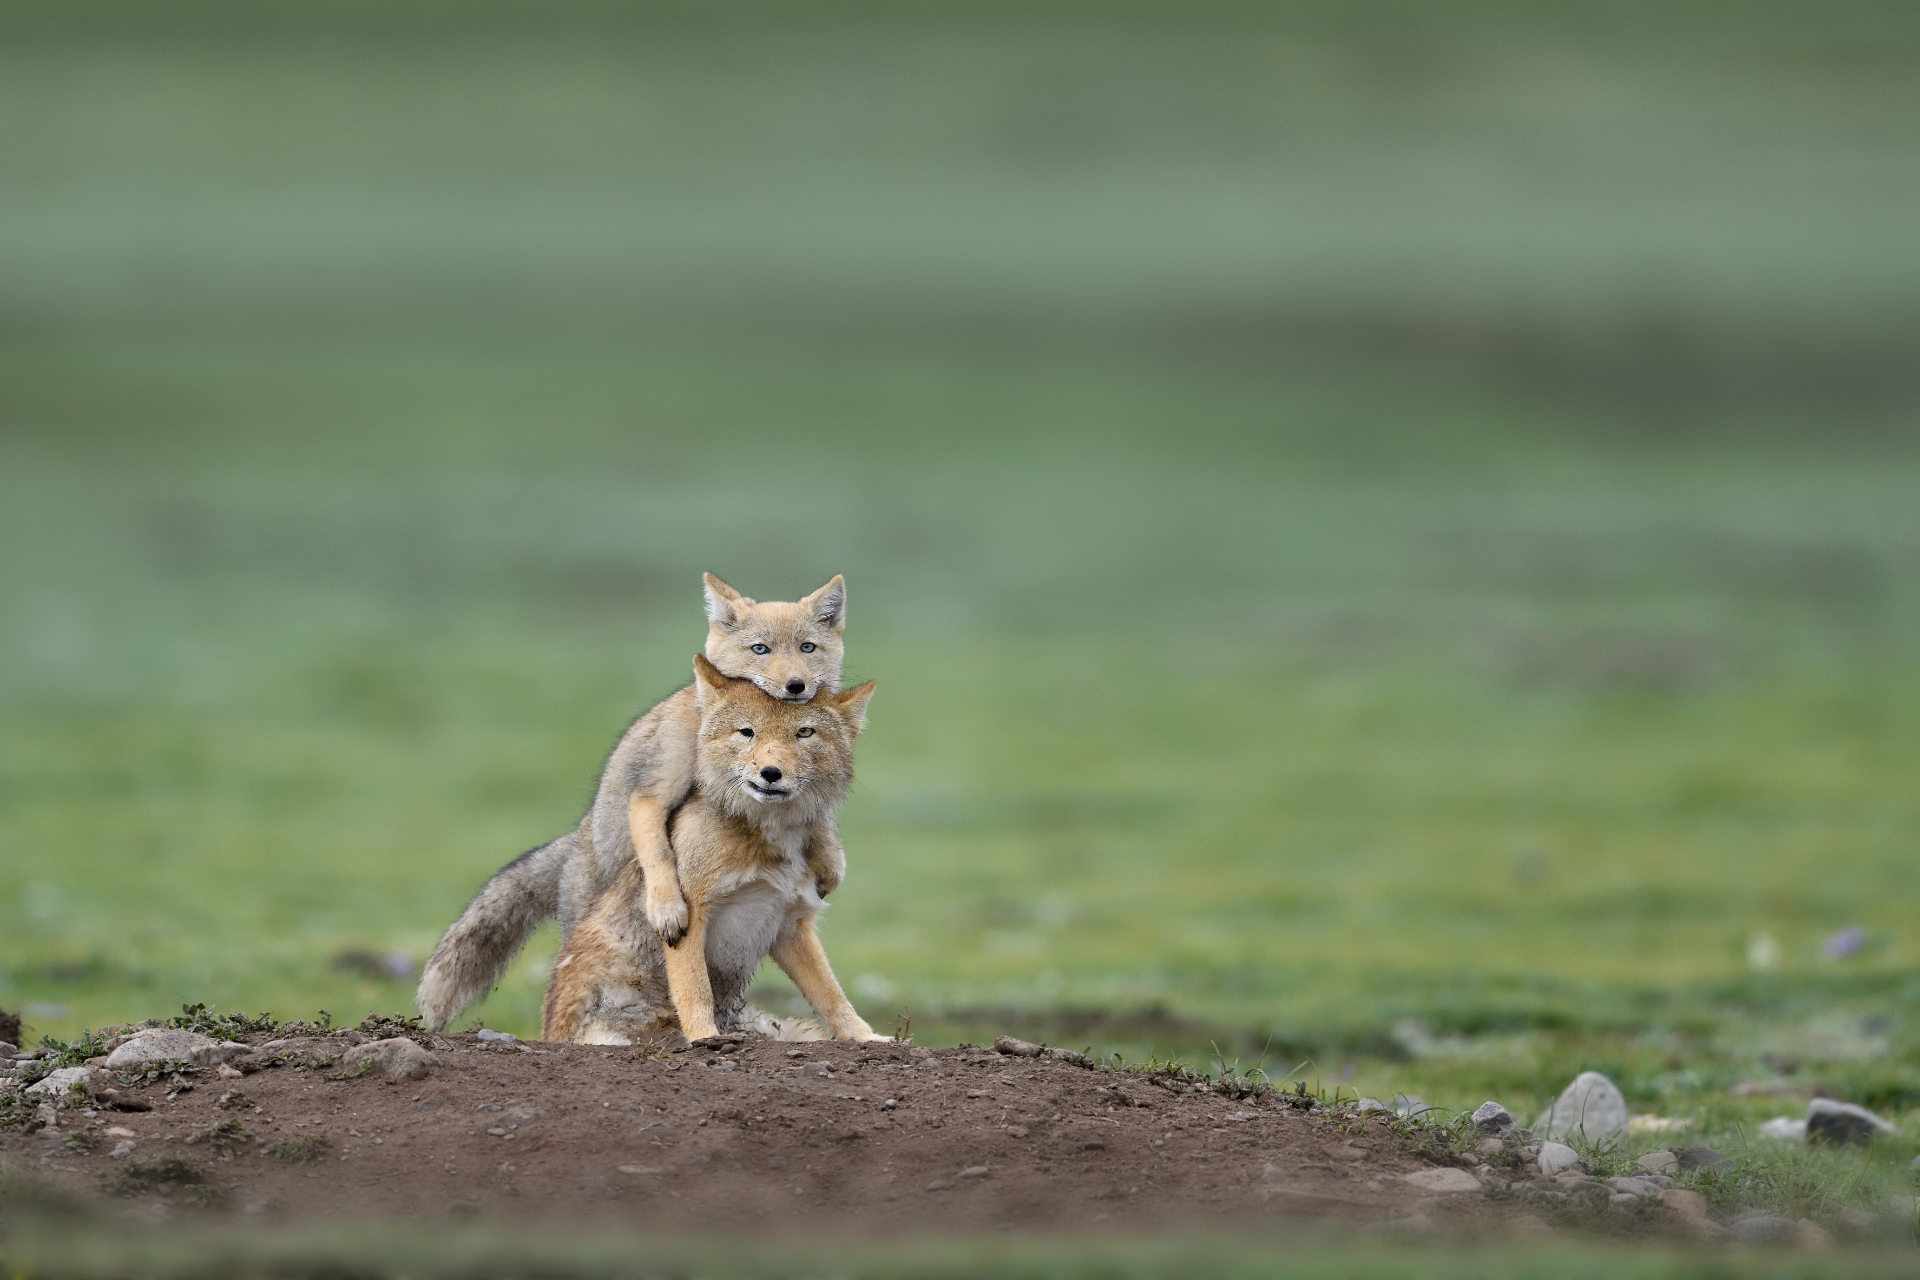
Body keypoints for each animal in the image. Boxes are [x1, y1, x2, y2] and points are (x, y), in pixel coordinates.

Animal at [420, 575, 848, 1036]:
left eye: (807, 648)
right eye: (760, 649)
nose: (795, 686)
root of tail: (575, 839)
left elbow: (819, 821)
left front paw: (830, 861)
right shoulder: (654, 792)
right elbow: (660, 855)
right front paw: (666, 909)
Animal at [533, 656, 879, 1043]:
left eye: (804, 733)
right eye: (747, 732)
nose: (770, 772)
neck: (770, 838)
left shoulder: (791, 923)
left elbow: (833, 996)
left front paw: (869, 1039)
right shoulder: (694, 915)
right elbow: (695, 989)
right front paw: (705, 1039)